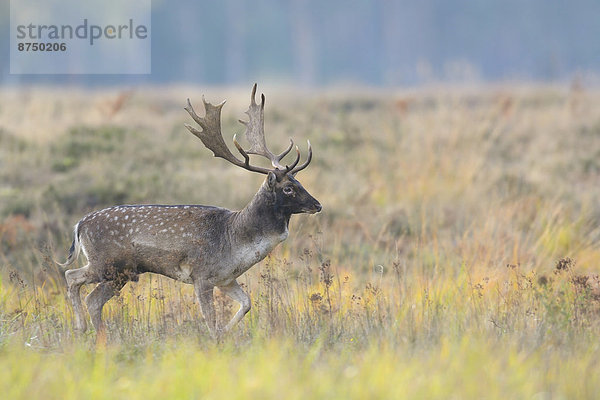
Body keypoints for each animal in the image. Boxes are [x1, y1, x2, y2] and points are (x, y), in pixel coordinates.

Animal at [59, 84, 324, 338]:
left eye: (299, 181)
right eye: (288, 188)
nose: (317, 205)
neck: (236, 241)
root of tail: (79, 225)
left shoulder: (226, 279)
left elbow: (246, 304)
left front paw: (225, 334)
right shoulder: (202, 275)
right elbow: (210, 320)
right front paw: (216, 338)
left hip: (120, 273)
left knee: (93, 300)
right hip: (107, 263)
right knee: (72, 276)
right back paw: (80, 328)